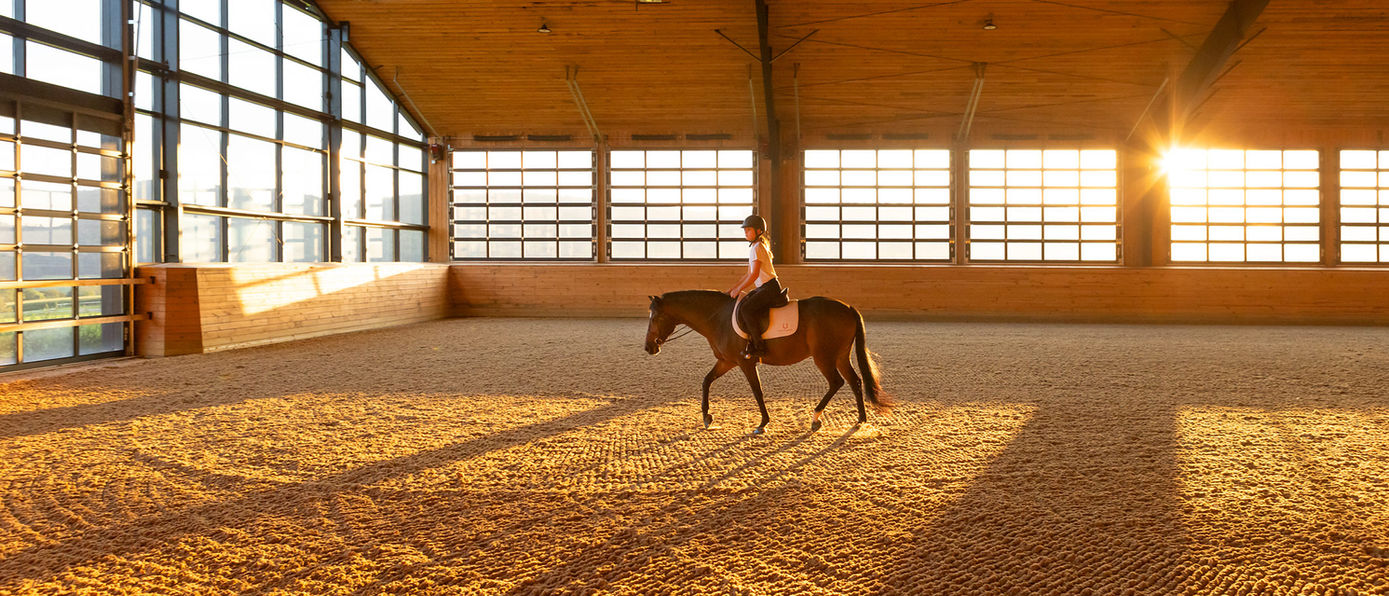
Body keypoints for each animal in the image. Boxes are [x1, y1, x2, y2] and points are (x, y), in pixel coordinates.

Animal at [643, 290, 892, 435]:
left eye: (655, 317)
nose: (649, 347)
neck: (718, 318)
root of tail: (847, 307)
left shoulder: (745, 363)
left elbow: (757, 391)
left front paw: (762, 423)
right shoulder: (726, 361)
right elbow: (706, 381)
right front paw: (707, 417)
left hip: (823, 356)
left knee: (836, 382)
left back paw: (816, 417)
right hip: (839, 356)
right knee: (855, 381)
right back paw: (860, 420)